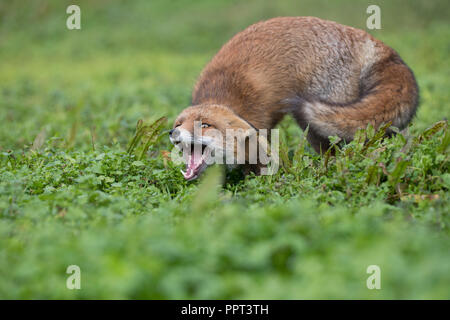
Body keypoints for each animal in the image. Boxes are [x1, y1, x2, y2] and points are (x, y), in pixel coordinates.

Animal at [169, 16, 418, 180]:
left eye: (205, 125)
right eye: (179, 124)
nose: (173, 133)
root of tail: (366, 38)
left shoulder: (261, 126)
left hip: (318, 126)